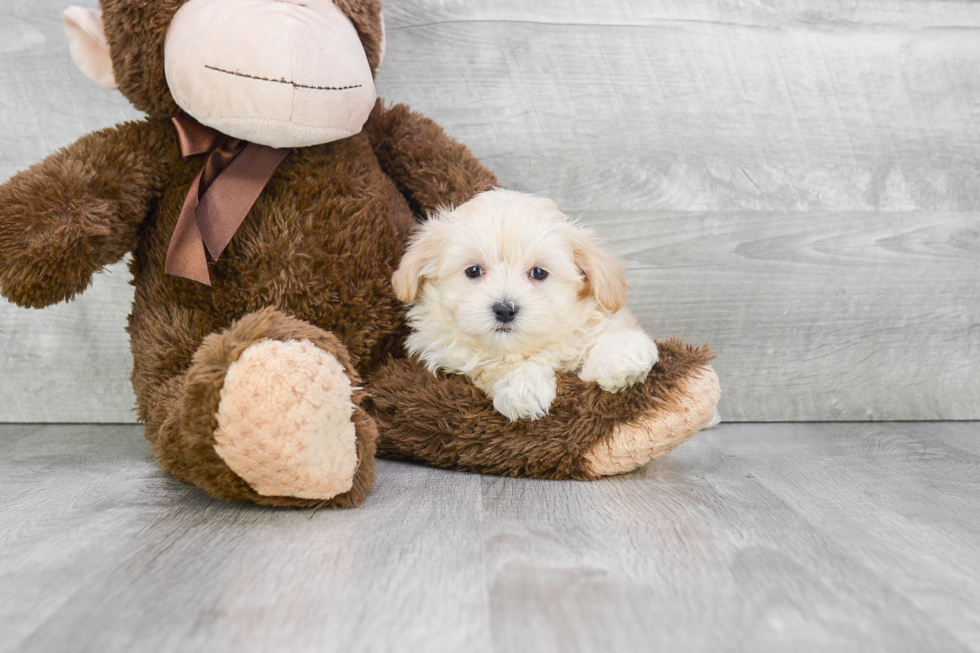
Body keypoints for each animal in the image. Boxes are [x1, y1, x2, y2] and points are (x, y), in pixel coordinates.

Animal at [390, 188, 660, 422]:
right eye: (473, 271)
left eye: (539, 273)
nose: (504, 309)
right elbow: (491, 365)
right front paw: (522, 385)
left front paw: (622, 355)